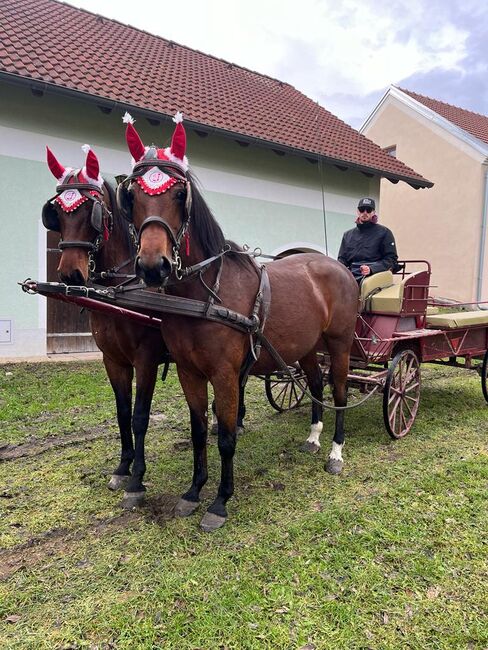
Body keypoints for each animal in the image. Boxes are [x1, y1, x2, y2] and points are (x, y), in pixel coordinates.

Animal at [41, 147, 166, 506]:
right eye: (56, 213)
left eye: (92, 211)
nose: (70, 274)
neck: (120, 291)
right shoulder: (113, 360)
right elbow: (122, 412)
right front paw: (123, 467)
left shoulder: (146, 360)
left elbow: (140, 416)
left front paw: (137, 479)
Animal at [118, 115, 358, 532]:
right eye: (131, 197)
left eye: (179, 195)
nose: (152, 266)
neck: (204, 294)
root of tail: (337, 266)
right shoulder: (189, 372)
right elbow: (199, 431)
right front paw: (193, 491)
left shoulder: (226, 375)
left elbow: (227, 436)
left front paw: (219, 502)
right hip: (307, 348)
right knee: (314, 385)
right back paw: (313, 437)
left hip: (340, 343)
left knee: (340, 393)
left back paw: (335, 453)